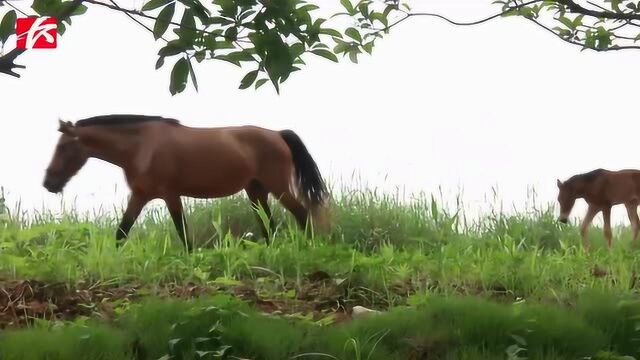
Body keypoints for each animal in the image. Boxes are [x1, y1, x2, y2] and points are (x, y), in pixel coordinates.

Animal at [42, 115, 328, 250]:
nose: (48, 183)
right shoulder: (140, 195)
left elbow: (183, 233)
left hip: (278, 188)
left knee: (301, 214)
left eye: (64, 146)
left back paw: (309, 246)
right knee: (269, 225)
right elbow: (121, 232)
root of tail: (278, 134)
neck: (141, 147)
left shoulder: (169, 195)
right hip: (256, 191)